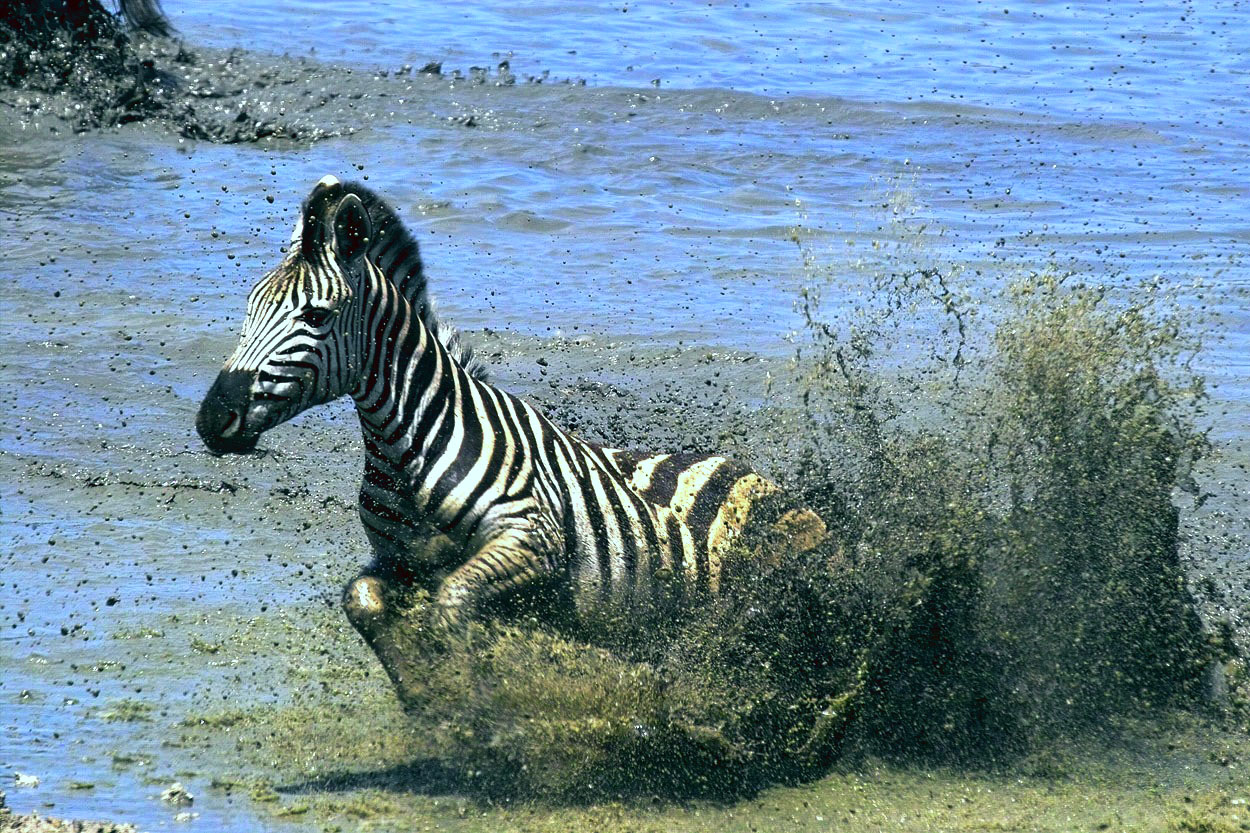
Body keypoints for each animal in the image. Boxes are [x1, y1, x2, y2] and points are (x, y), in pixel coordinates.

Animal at [196, 175, 826, 705]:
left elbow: (452, 606)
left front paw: (477, 709)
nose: (212, 418)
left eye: (317, 317)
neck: (408, 441)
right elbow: (363, 599)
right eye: (249, 307)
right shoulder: (401, 560)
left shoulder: (533, 537)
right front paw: (427, 702)